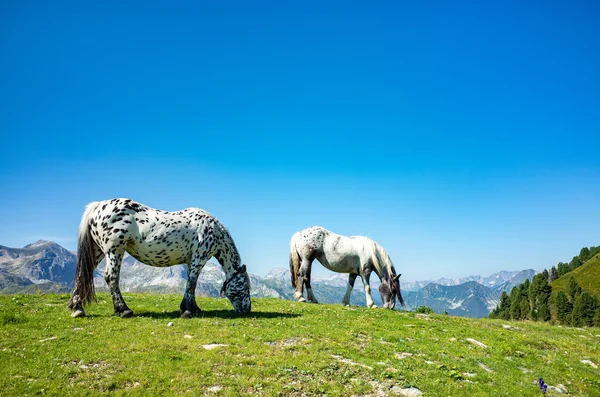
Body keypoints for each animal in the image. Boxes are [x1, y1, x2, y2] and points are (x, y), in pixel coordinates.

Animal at [68, 200, 251, 318]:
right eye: (246, 287)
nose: (247, 309)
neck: (212, 229)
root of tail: (98, 206)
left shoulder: (191, 261)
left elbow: (191, 284)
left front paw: (193, 308)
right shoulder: (199, 259)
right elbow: (192, 283)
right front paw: (188, 310)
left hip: (98, 251)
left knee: (83, 275)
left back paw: (77, 309)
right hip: (114, 250)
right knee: (111, 277)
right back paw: (124, 310)